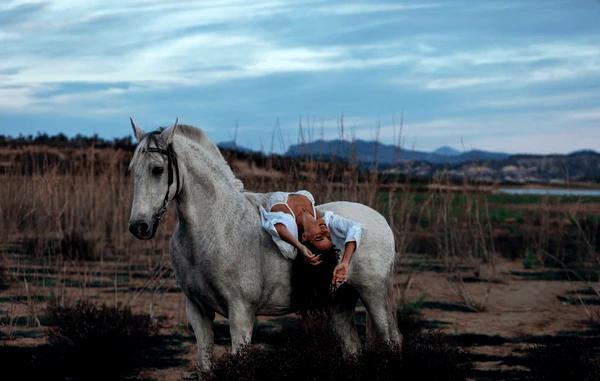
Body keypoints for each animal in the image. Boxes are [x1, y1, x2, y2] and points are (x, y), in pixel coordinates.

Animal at [127, 121, 400, 368]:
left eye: (157, 169)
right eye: (132, 169)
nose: (139, 226)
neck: (215, 226)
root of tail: (381, 221)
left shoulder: (241, 313)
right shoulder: (197, 311)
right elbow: (205, 365)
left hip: (373, 295)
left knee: (392, 341)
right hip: (341, 301)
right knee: (353, 348)